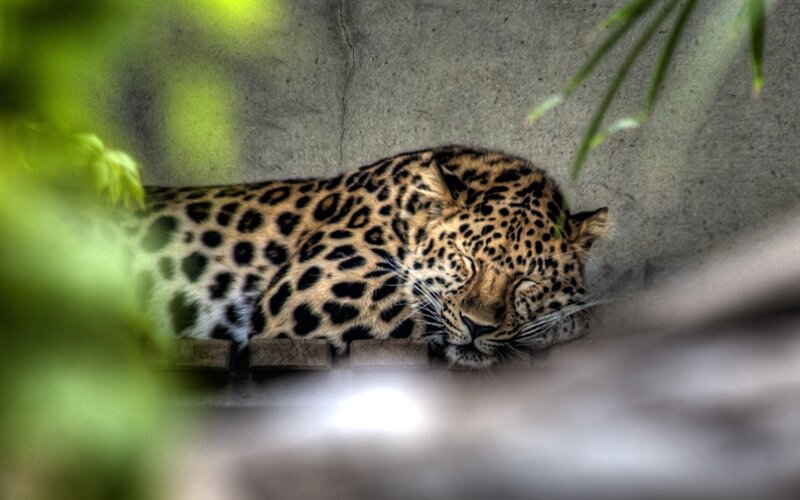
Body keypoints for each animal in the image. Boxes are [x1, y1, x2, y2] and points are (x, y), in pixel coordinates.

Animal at [130, 146, 608, 368]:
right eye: (466, 260)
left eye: (527, 281)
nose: (478, 327)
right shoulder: (314, 287)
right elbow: (422, 312)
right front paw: (572, 322)